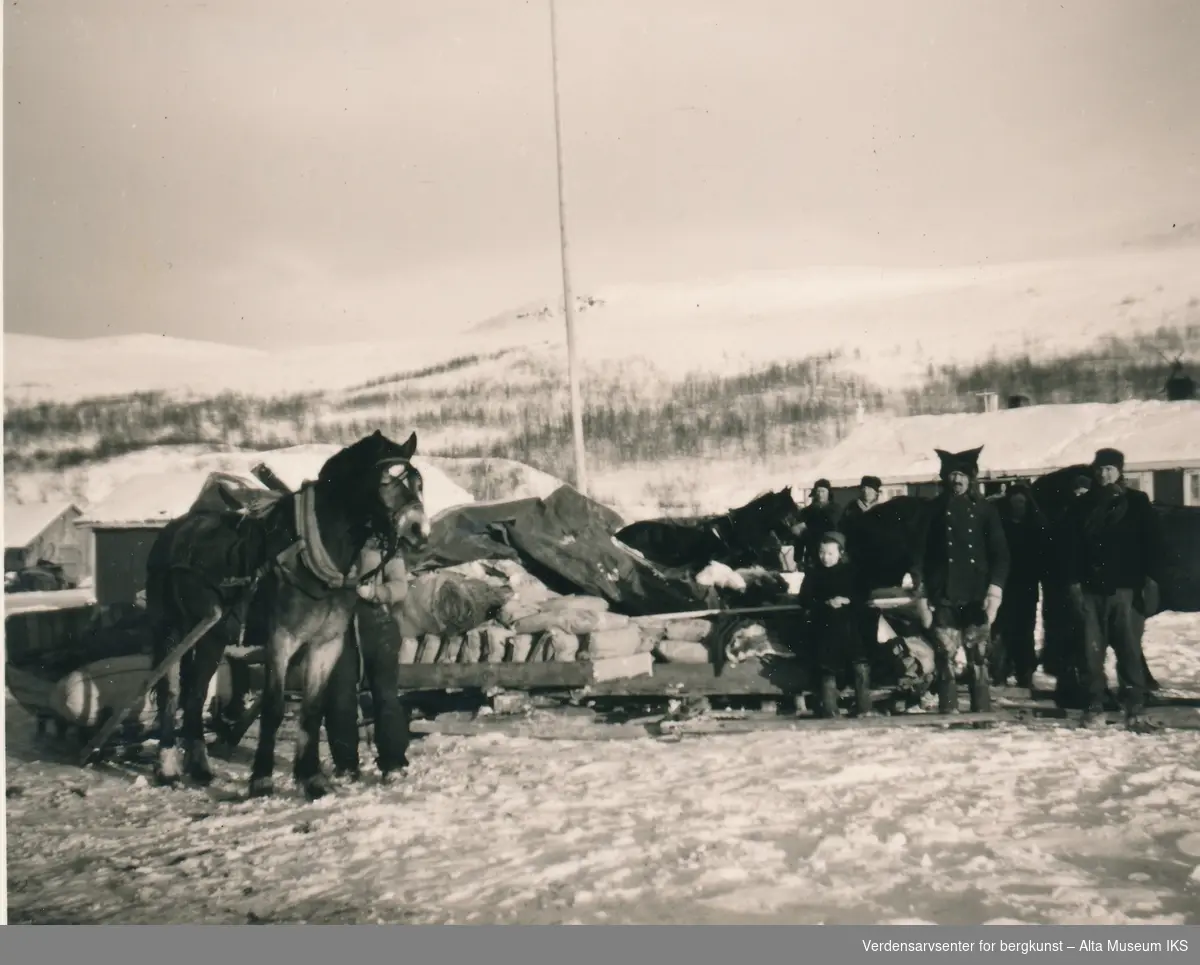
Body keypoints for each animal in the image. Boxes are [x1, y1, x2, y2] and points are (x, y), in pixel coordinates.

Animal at [144, 429, 432, 796]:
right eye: (385, 481)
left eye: (418, 482)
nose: (419, 531)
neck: (310, 552)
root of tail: (172, 531)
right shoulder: (281, 640)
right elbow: (274, 707)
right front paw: (262, 779)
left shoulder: (327, 643)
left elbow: (312, 709)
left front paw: (311, 778)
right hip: (171, 630)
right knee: (169, 694)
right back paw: (168, 768)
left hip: (213, 635)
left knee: (194, 696)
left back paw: (200, 768)